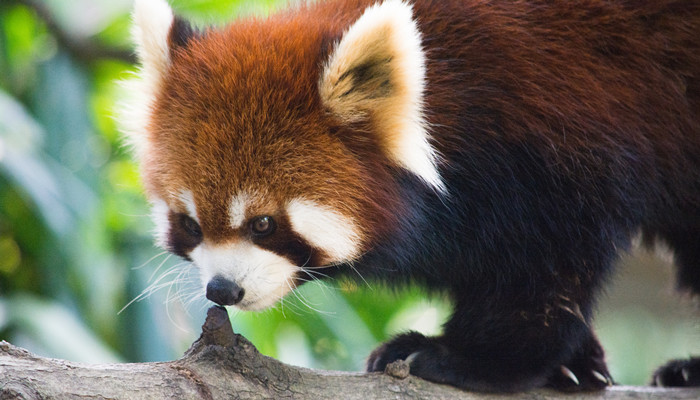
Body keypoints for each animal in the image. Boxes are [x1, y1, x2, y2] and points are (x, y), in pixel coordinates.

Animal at [121, 0, 700, 394]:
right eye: (191, 224)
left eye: (263, 223)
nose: (223, 289)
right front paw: (576, 362)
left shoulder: (558, 144)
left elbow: (544, 275)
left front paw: (469, 359)